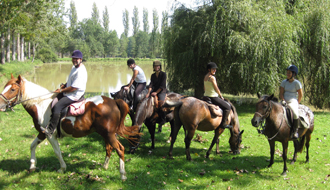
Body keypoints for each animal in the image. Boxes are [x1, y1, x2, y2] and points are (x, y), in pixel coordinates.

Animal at [0, 74, 141, 180]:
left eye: (12, 89)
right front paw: (32, 166)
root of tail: (114, 102)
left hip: (109, 134)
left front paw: (62, 168)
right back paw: (105, 166)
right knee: (109, 148)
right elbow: (32, 145)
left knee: (120, 149)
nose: (1, 104)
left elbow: (57, 152)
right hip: (105, 134)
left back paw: (122, 175)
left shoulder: (50, 135)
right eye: (5, 86)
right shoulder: (42, 133)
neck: (41, 105)